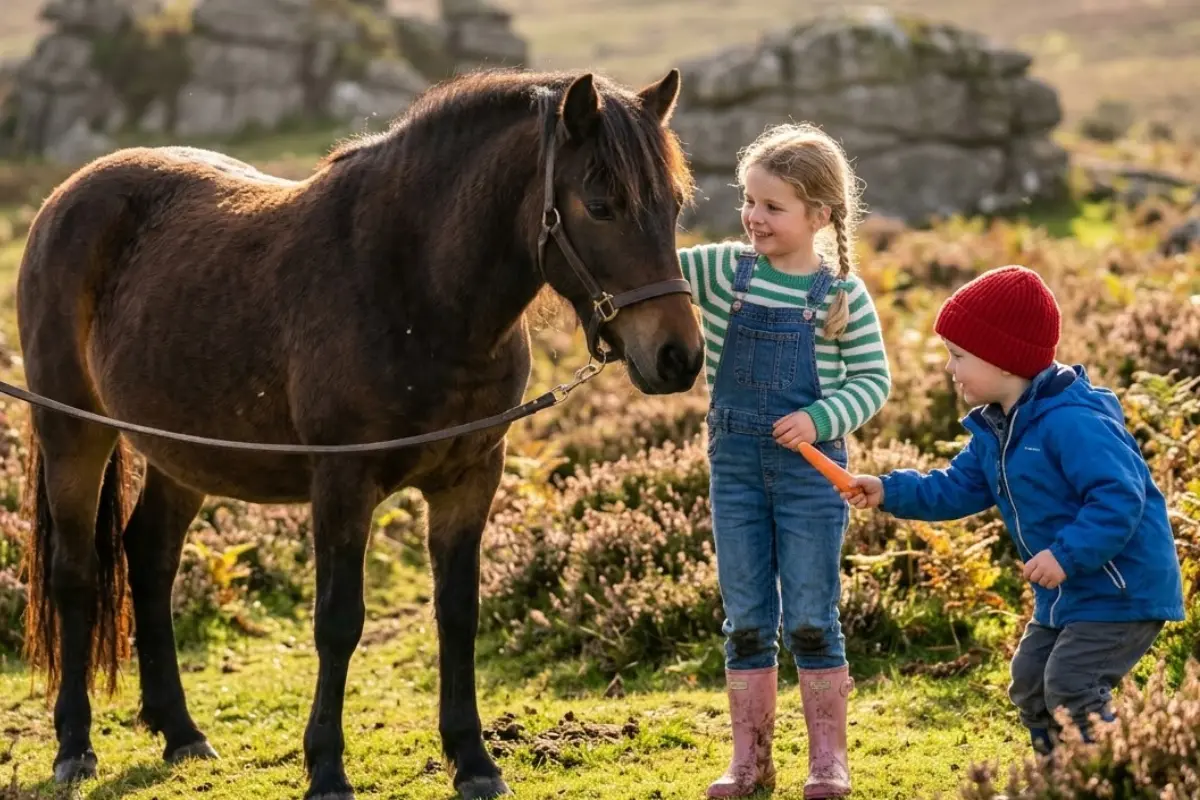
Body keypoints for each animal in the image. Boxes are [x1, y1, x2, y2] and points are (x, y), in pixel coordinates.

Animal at [15, 67, 703, 799]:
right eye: (600, 205)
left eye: (674, 207)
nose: (677, 357)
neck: (412, 289)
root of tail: (66, 197)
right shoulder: (343, 483)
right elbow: (338, 622)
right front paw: (327, 768)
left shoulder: (469, 480)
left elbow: (458, 614)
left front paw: (474, 761)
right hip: (72, 434)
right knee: (75, 575)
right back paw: (74, 747)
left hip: (184, 453)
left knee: (148, 559)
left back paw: (182, 733)